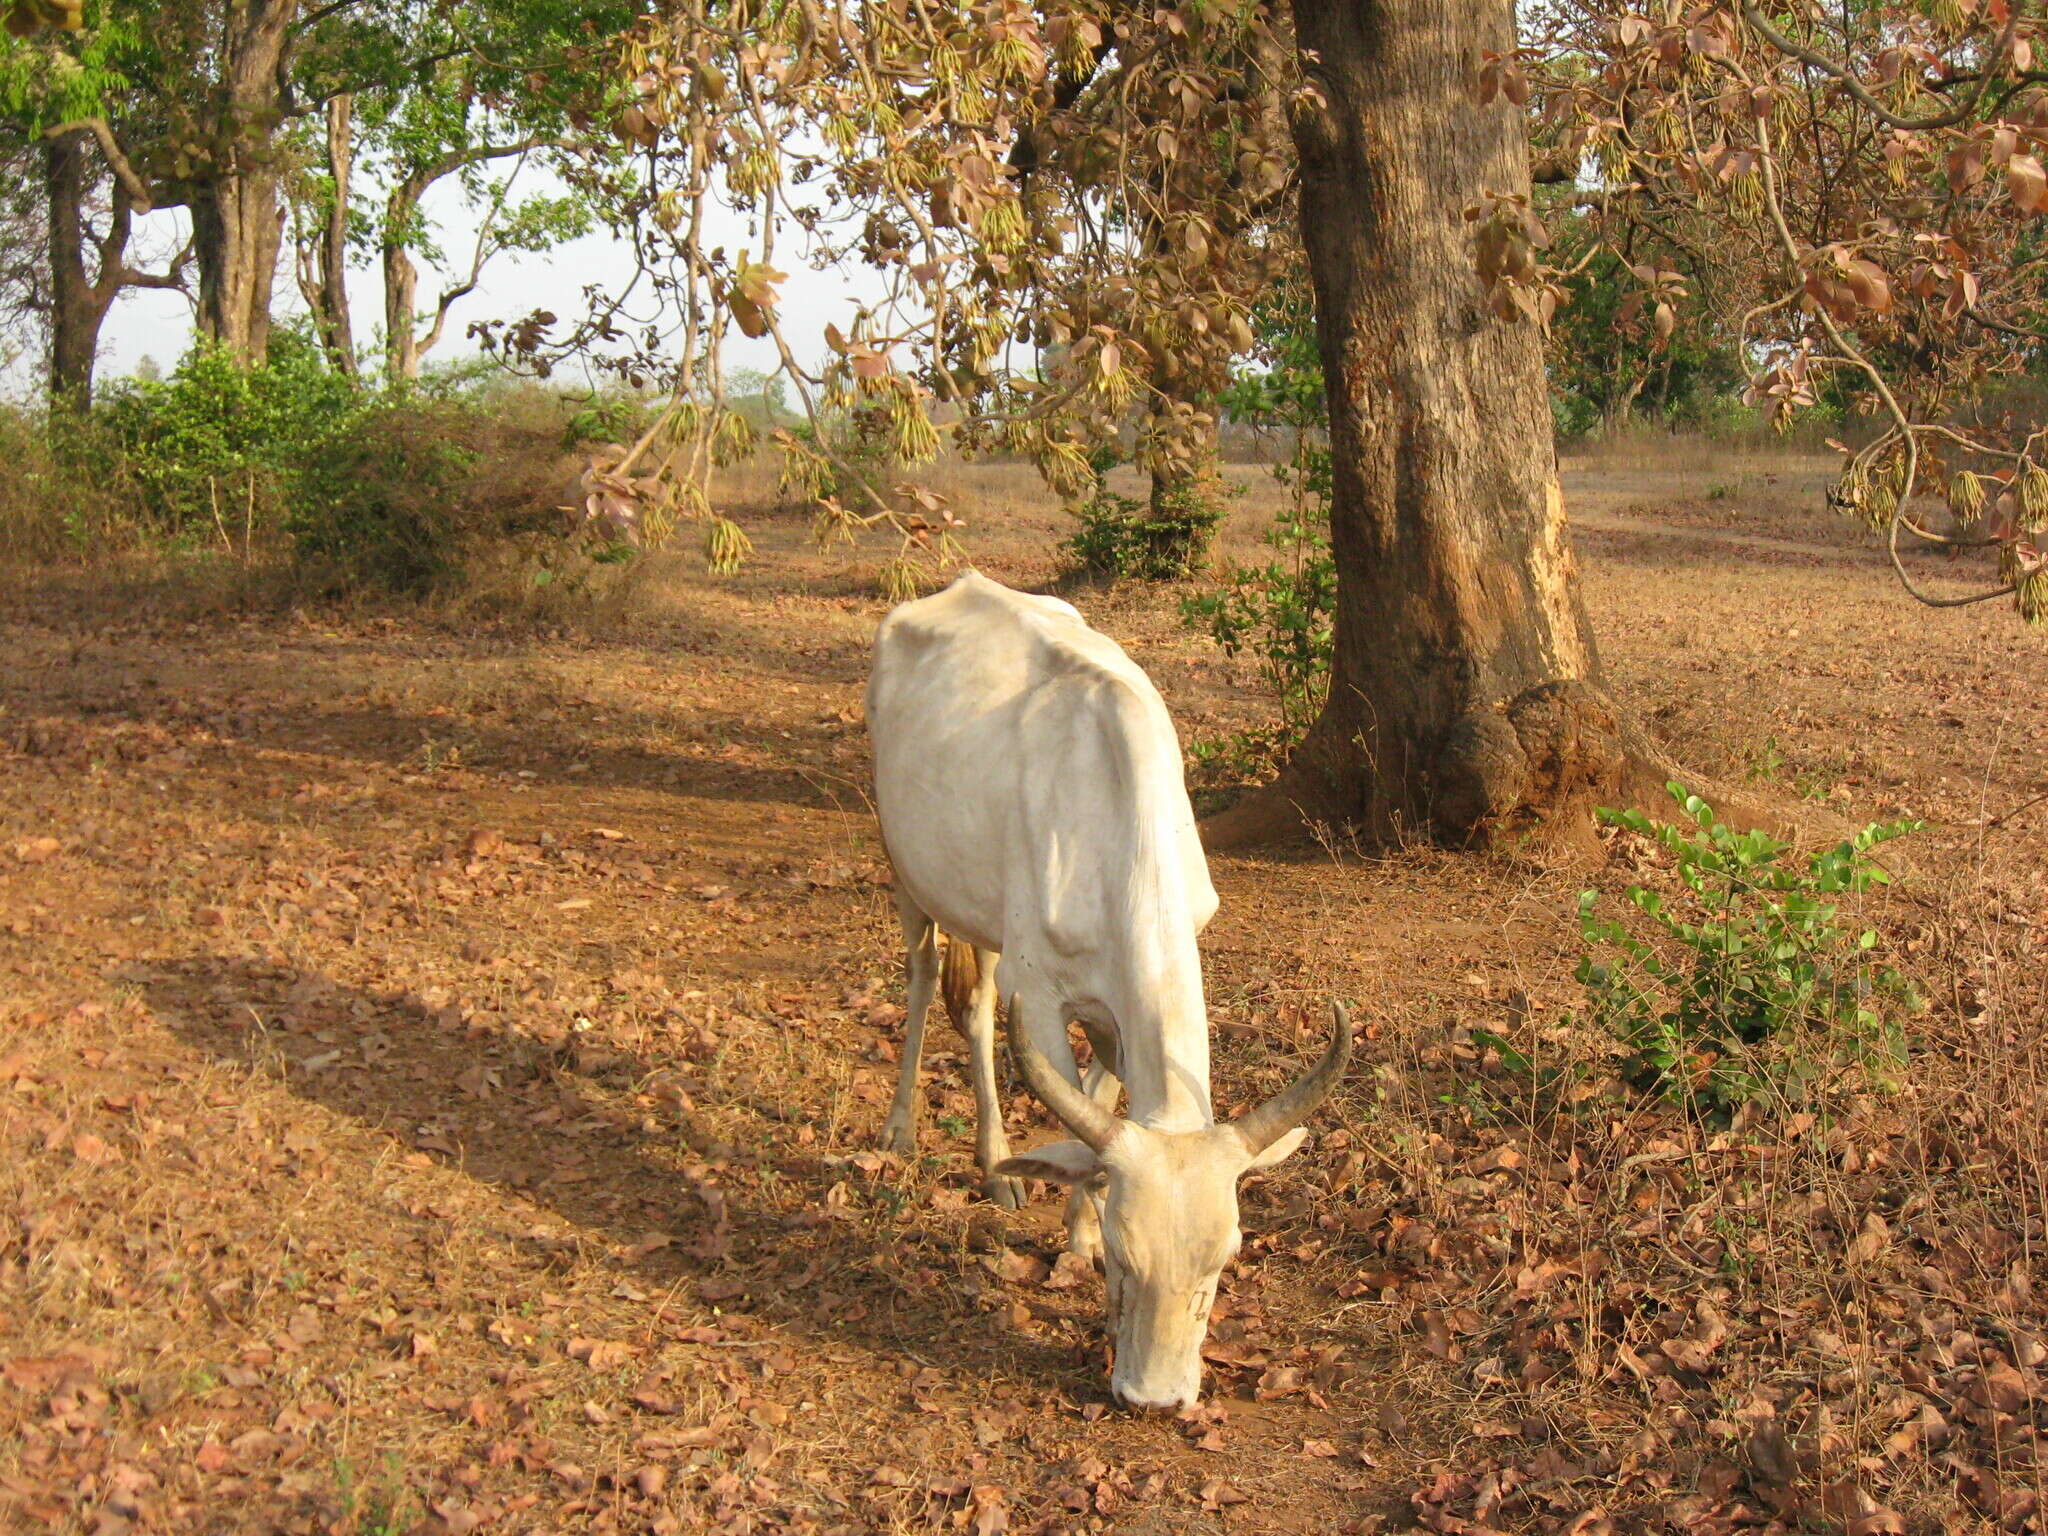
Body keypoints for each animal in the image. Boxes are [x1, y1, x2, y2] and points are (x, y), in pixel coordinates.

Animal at [868, 573, 1359, 1417]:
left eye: (1224, 1259)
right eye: (1129, 1262)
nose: (1154, 1397)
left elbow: (1101, 1096)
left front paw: (1078, 1228)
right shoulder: (1039, 991)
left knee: (974, 999)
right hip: (908, 873)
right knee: (934, 981)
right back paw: (935, 1142)